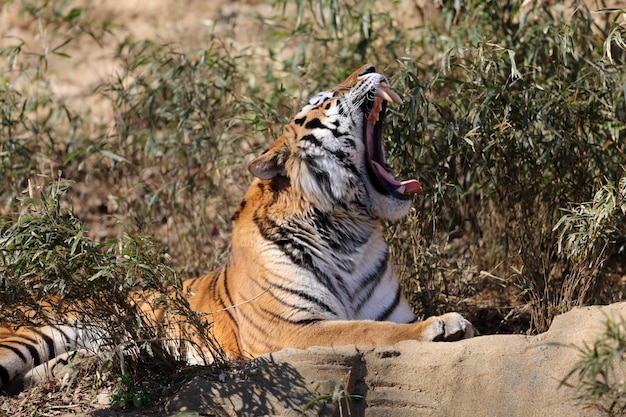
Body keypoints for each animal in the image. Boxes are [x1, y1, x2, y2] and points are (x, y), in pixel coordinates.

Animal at [0, 62, 470, 394]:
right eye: (323, 100)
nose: (371, 65)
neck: (348, 233)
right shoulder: (293, 329)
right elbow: (366, 330)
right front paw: (443, 324)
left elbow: (377, 324)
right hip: (28, 336)